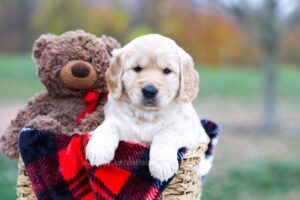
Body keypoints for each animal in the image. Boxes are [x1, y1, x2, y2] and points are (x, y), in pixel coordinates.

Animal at [86, 33, 209, 180]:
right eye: (137, 68)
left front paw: (162, 164)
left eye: (167, 71)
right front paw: (98, 149)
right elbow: (108, 126)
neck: (147, 115)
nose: (149, 90)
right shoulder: (118, 123)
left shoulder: (190, 134)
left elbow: (166, 133)